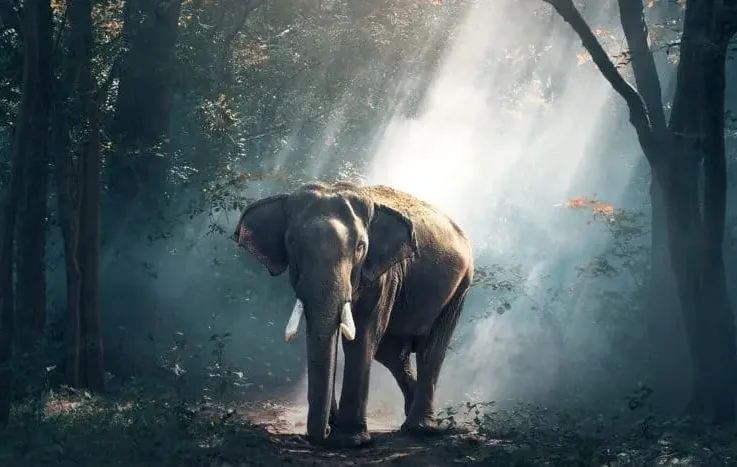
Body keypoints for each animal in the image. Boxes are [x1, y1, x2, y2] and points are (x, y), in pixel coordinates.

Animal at [232, 181, 473, 447]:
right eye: (292, 242)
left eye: (360, 247)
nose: (323, 434)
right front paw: (336, 429)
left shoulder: (383, 274)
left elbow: (362, 336)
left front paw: (350, 440)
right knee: (391, 353)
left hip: (460, 287)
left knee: (430, 349)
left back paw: (420, 429)